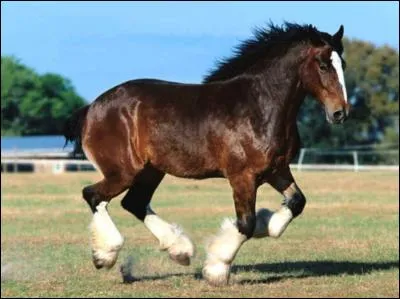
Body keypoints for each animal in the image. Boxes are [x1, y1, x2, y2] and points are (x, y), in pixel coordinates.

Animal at [63, 22, 350, 286]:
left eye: (343, 64)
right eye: (323, 65)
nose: (340, 113)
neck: (259, 107)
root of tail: (92, 108)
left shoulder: (276, 170)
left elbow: (296, 202)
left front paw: (266, 224)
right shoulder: (242, 177)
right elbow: (245, 223)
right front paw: (216, 269)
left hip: (151, 171)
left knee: (133, 202)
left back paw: (179, 250)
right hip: (123, 172)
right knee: (93, 195)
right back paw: (105, 255)